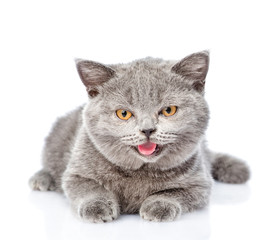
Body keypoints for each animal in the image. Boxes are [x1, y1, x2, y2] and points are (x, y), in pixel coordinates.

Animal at [29, 50, 250, 223]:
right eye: (124, 113)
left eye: (168, 110)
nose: (147, 129)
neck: (140, 171)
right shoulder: (76, 174)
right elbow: (88, 188)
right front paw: (97, 208)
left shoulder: (200, 184)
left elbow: (174, 193)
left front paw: (158, 206)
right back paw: (42, 179)